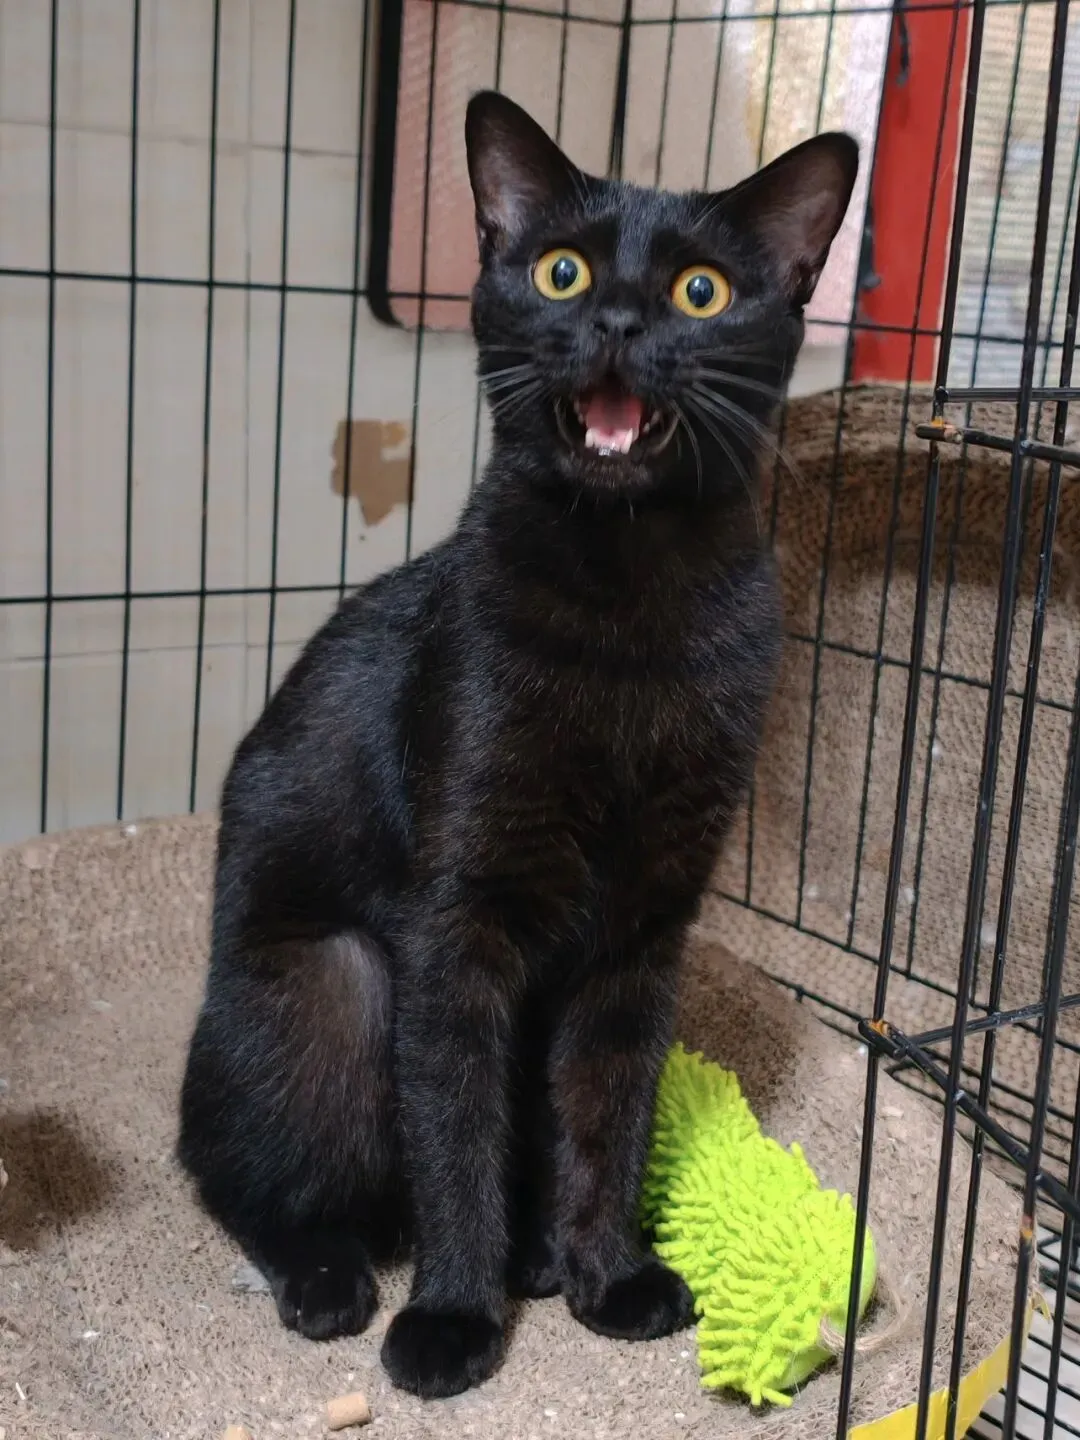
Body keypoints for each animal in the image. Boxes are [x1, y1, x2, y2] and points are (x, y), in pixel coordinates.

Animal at [178, 90, 858, 1400]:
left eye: (702, 291)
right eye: (560, 270)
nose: (616, 319)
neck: (632, 599)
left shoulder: (642, 936)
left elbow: (607, 1111)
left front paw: (608, 1274)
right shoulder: (457, 925)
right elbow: (458, 1133)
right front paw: (452, 1316)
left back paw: (538, 1255)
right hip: (336, 980)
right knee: (231, 1172)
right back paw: (334, 1277)